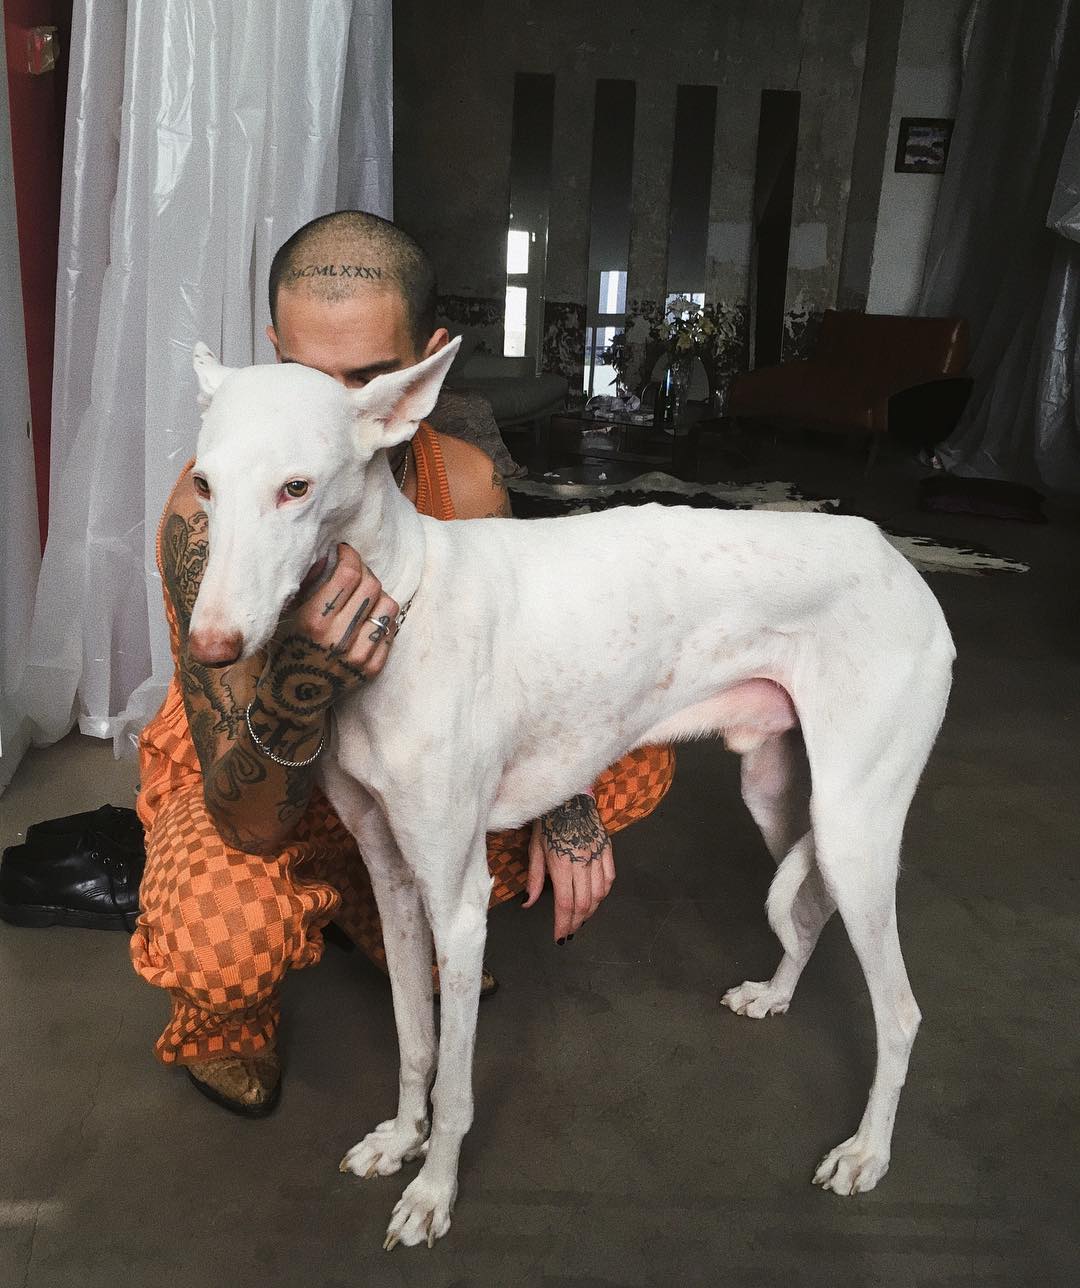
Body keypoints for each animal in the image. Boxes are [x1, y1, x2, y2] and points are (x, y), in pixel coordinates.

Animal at [186, 337, 954, 1249]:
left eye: (296, 488)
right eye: (204, 485)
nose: (208, 646)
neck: (405, 604)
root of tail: (895, 558)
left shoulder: (458, 903)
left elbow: (455, 1084)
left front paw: (434, 1192)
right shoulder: (393, 879)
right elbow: (415, 1042)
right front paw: (400, 1139)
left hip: (852, 826)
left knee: (900, 1011)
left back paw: (867, 1152)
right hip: (780, 797)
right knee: (810, 910)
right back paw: (775, 996)